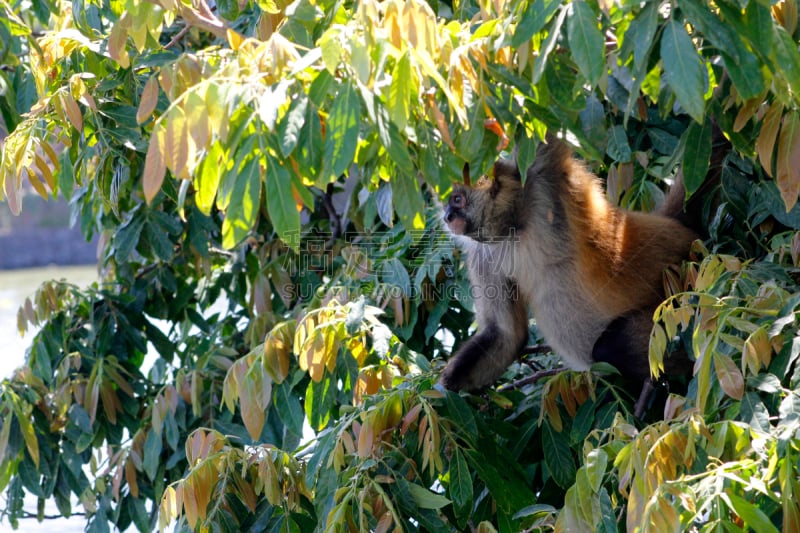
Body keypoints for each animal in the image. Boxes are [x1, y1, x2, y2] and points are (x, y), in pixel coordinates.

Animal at [440, 136, 696, 390]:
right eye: (446, 204)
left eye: (457, 200)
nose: (447, 217)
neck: (517, 227)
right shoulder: (484, 255)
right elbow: (506, 333)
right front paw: (443, 389)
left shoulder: (541, 177)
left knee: (610, 349)